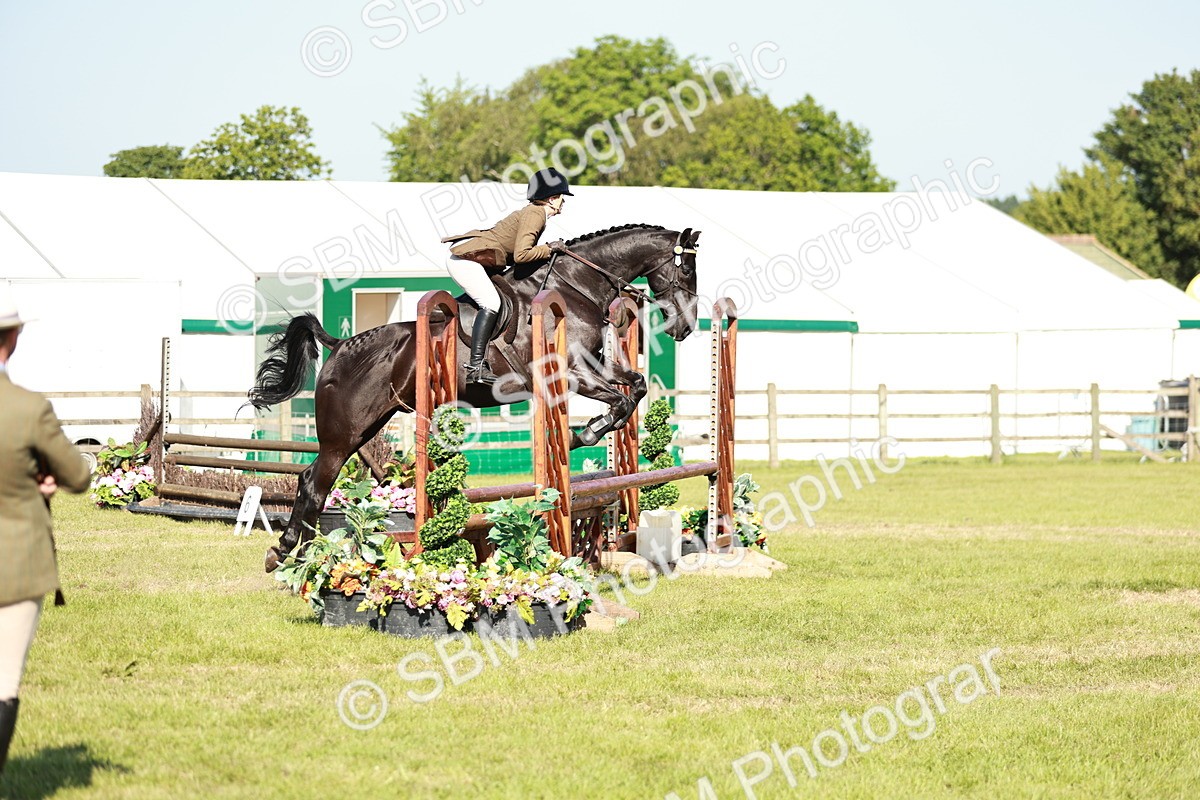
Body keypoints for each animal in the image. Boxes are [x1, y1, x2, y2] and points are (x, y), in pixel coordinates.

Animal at [248, 224, 702, 571]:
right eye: (687, 269)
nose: (684, 328)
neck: (575, 287)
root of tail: (342, 345)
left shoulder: (595, 368)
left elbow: (636, 386)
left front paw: (588, 431)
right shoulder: (572, 372)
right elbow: (621, 401)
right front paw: (584, 434)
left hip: (366, 428)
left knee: (310, 479)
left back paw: (293, 554)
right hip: (343, 433)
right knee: (315, 484)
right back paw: (293, 555)